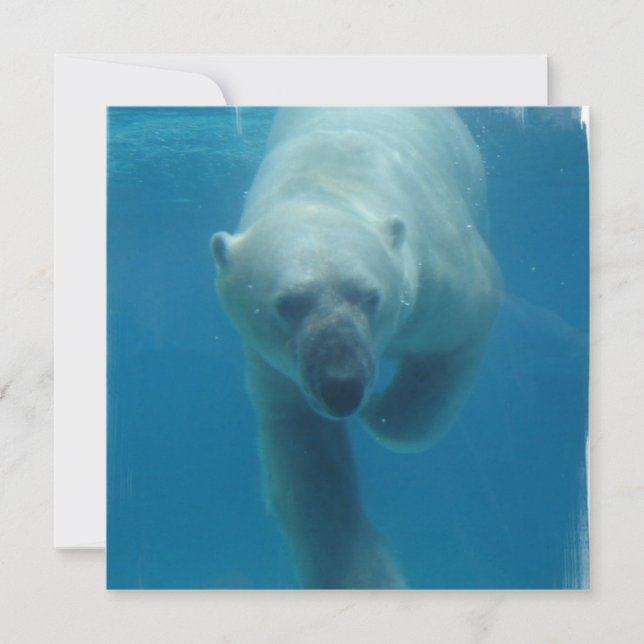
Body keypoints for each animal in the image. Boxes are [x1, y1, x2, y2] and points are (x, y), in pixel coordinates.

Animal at [210, 108, 502, 589]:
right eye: (286, 304)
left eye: (370, 296)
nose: (343, 387)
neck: (326, 182)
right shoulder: (274, 361)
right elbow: (308, 459)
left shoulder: (442, 276)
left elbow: (451, 355)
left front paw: (381, 411)